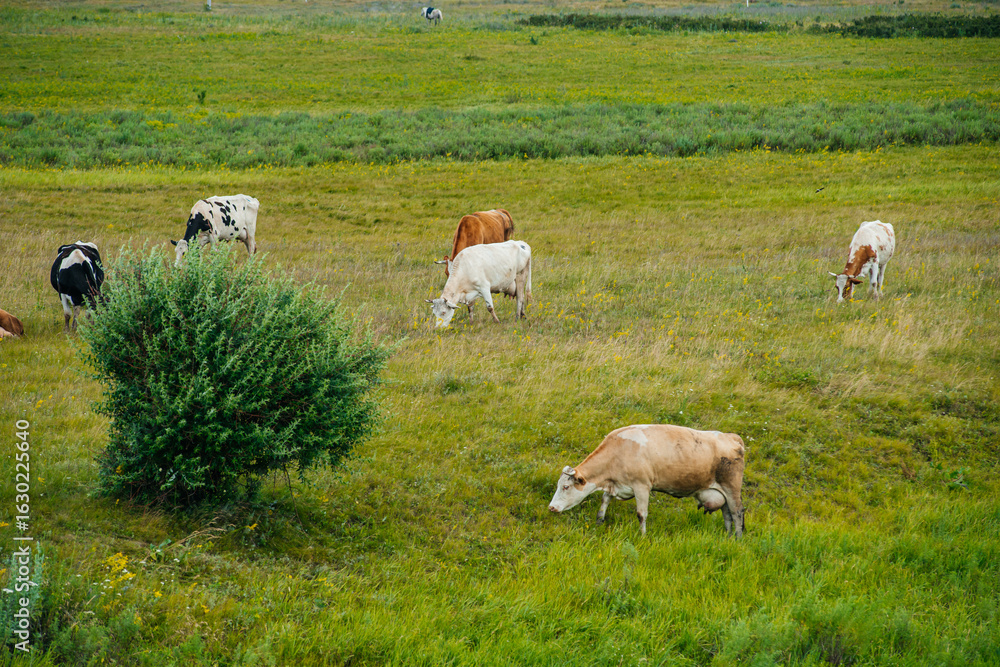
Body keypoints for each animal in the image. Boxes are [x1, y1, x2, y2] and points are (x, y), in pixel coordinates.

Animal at [548, 424, 746, 537]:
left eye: (565, 487)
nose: (551, 507)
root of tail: (731, 436)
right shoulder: (615, 484)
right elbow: (604, 502)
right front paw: (599, 522)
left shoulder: (642, 486)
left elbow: (641, 514)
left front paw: (642, 537)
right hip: (721, 492)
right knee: (727, 514)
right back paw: (727, 537)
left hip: (732, 487)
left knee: (736, 513)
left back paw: (737, 539)